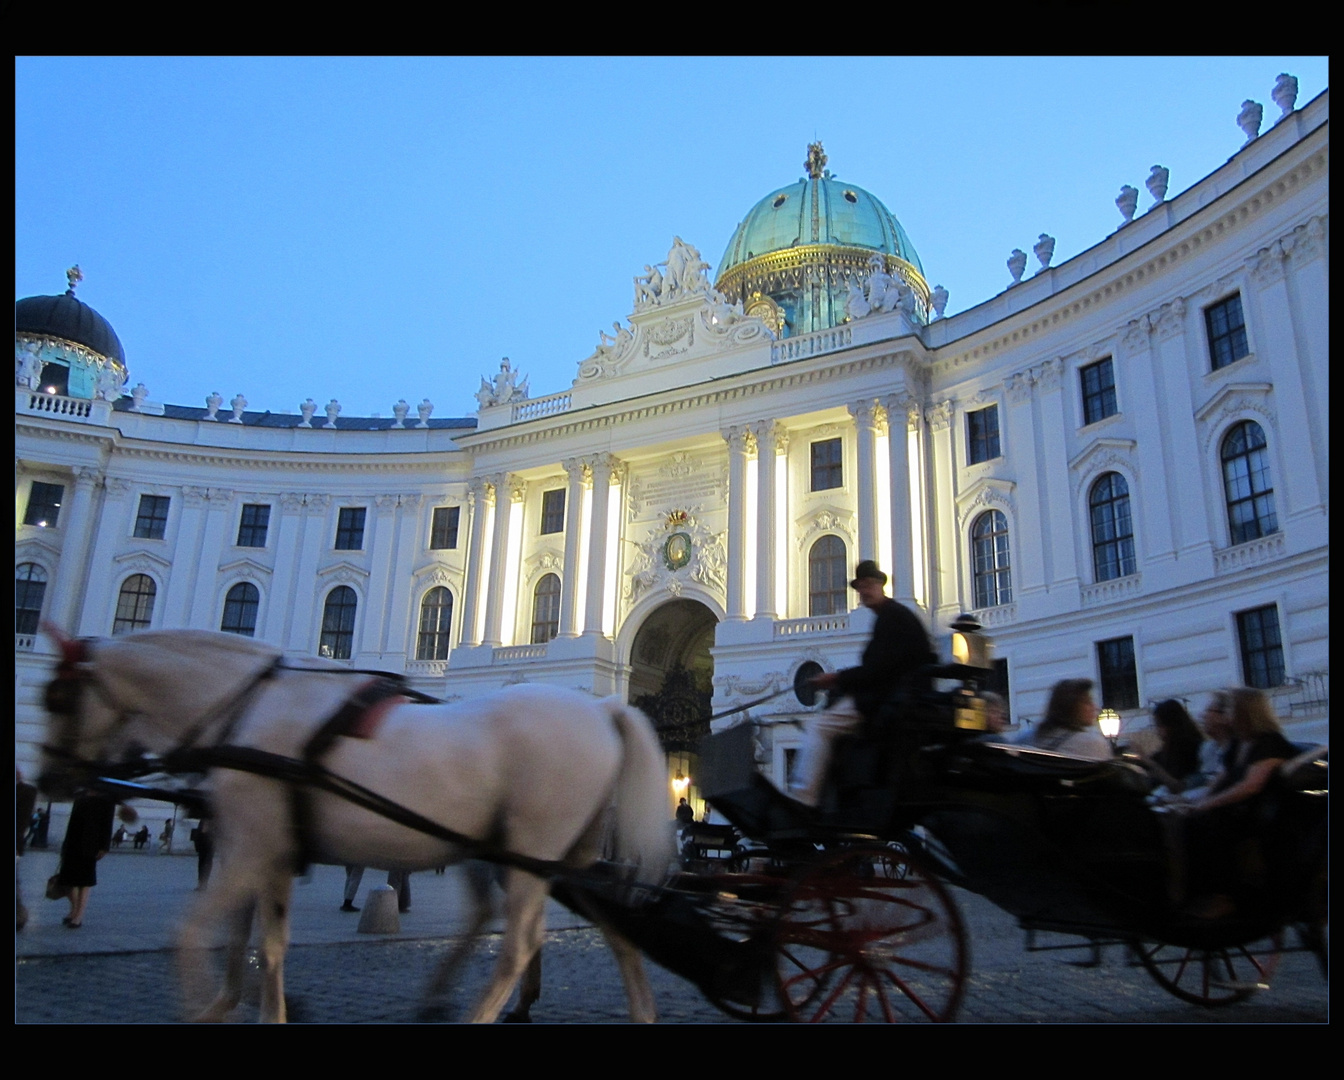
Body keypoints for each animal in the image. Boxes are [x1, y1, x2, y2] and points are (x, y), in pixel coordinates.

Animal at [40, 623, 672, 1020]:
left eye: (56, 699)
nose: (49, 777)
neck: (251, 708)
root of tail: (604, 708)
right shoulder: (266, 850)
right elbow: (262, 941)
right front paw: (252, 1008)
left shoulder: (248, 847)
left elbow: (191, 933)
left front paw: (205, 1008)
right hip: (559, 857)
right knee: (609, 927)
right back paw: (639, 1012)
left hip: (533, 853)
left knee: (519, 943)